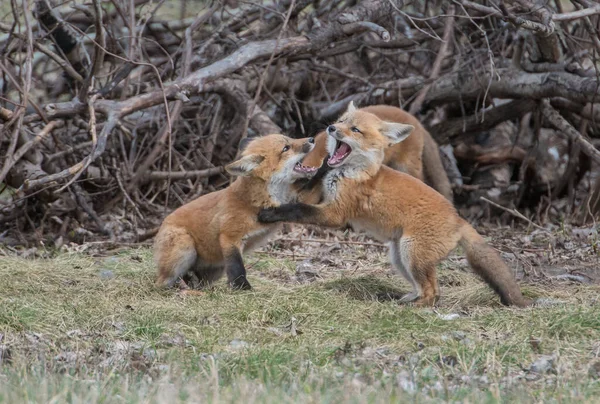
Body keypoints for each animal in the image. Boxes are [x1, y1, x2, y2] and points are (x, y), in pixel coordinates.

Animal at [155, 135, 318, 290]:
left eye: (290, 139)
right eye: (286, 148)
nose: (312, 139)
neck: (255, 200)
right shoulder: (230, 237)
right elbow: (237, 267)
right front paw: (242, 287)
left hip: (216, 269)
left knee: (196, 281)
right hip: (185, 247)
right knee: (164, 283)